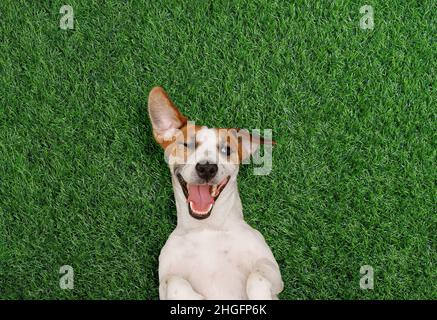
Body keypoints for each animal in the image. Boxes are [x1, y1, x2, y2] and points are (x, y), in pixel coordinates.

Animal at [146, 86, 282, 298]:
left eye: (227, 149)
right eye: (188, 145)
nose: (207, 168)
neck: (206, 228)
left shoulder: (272, 269)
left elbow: (256, 277)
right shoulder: (163, 284)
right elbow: (174, 281)